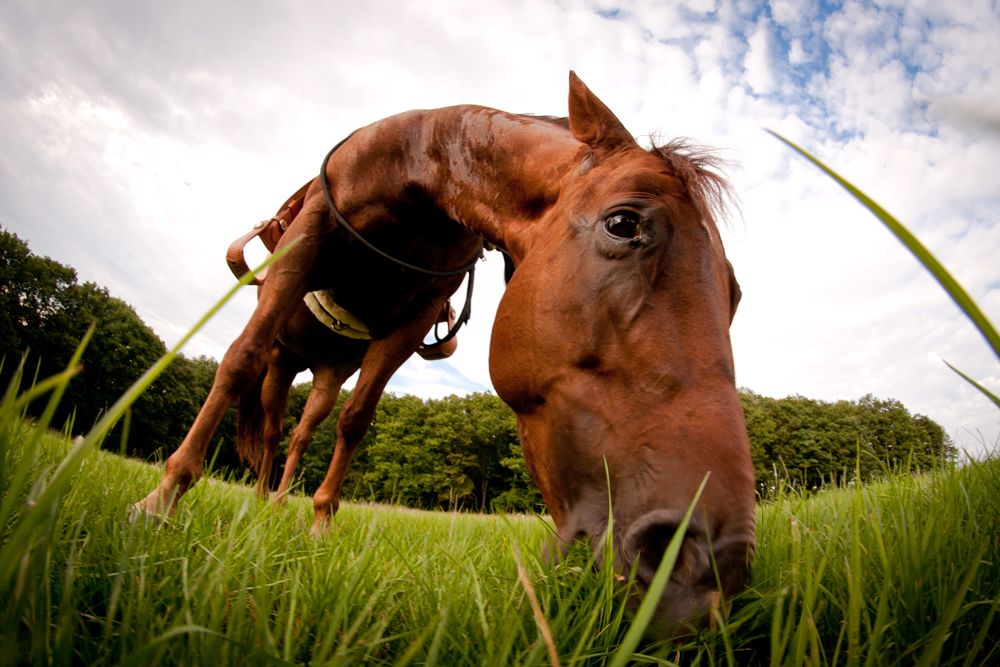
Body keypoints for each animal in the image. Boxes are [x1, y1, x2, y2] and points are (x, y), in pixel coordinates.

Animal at [137, 73, 752, 632]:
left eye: (736, 294)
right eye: (623, 223)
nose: (705, 560)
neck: (418, 176)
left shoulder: (414, 317)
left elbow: (357, 420)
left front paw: (320, 526)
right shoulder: (307, 243)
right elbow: (237, 359)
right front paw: (160, 501)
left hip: (331, 368)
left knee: (304, 431)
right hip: (284, 362)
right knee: (266, 421)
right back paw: (262, 502)